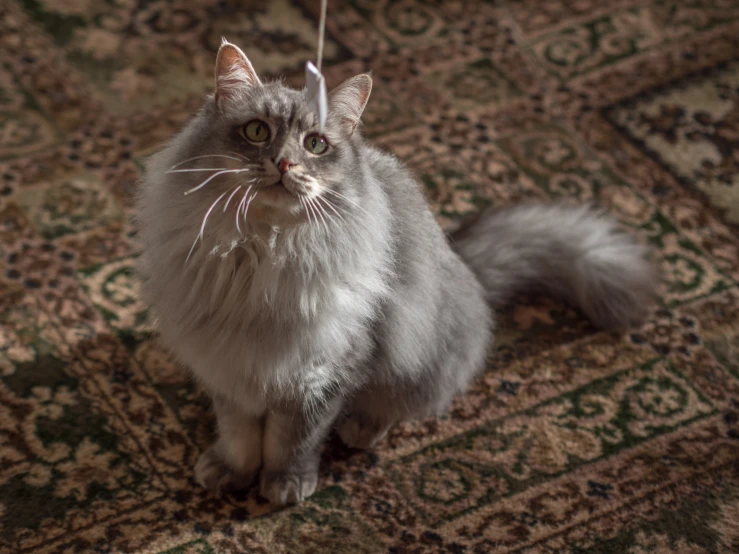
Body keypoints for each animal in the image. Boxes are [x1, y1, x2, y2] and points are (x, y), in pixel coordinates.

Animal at [134, 40, 660, 504]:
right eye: (258, 133)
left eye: (315, 145)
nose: (284, 164)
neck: (263, 253)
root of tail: (467, 270)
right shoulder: (229, 366)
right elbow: (240, 436)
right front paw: (231, 472)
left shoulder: (322, 373)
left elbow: (290, 441)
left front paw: (284, 485)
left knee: (399, 404)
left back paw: (362, 429)